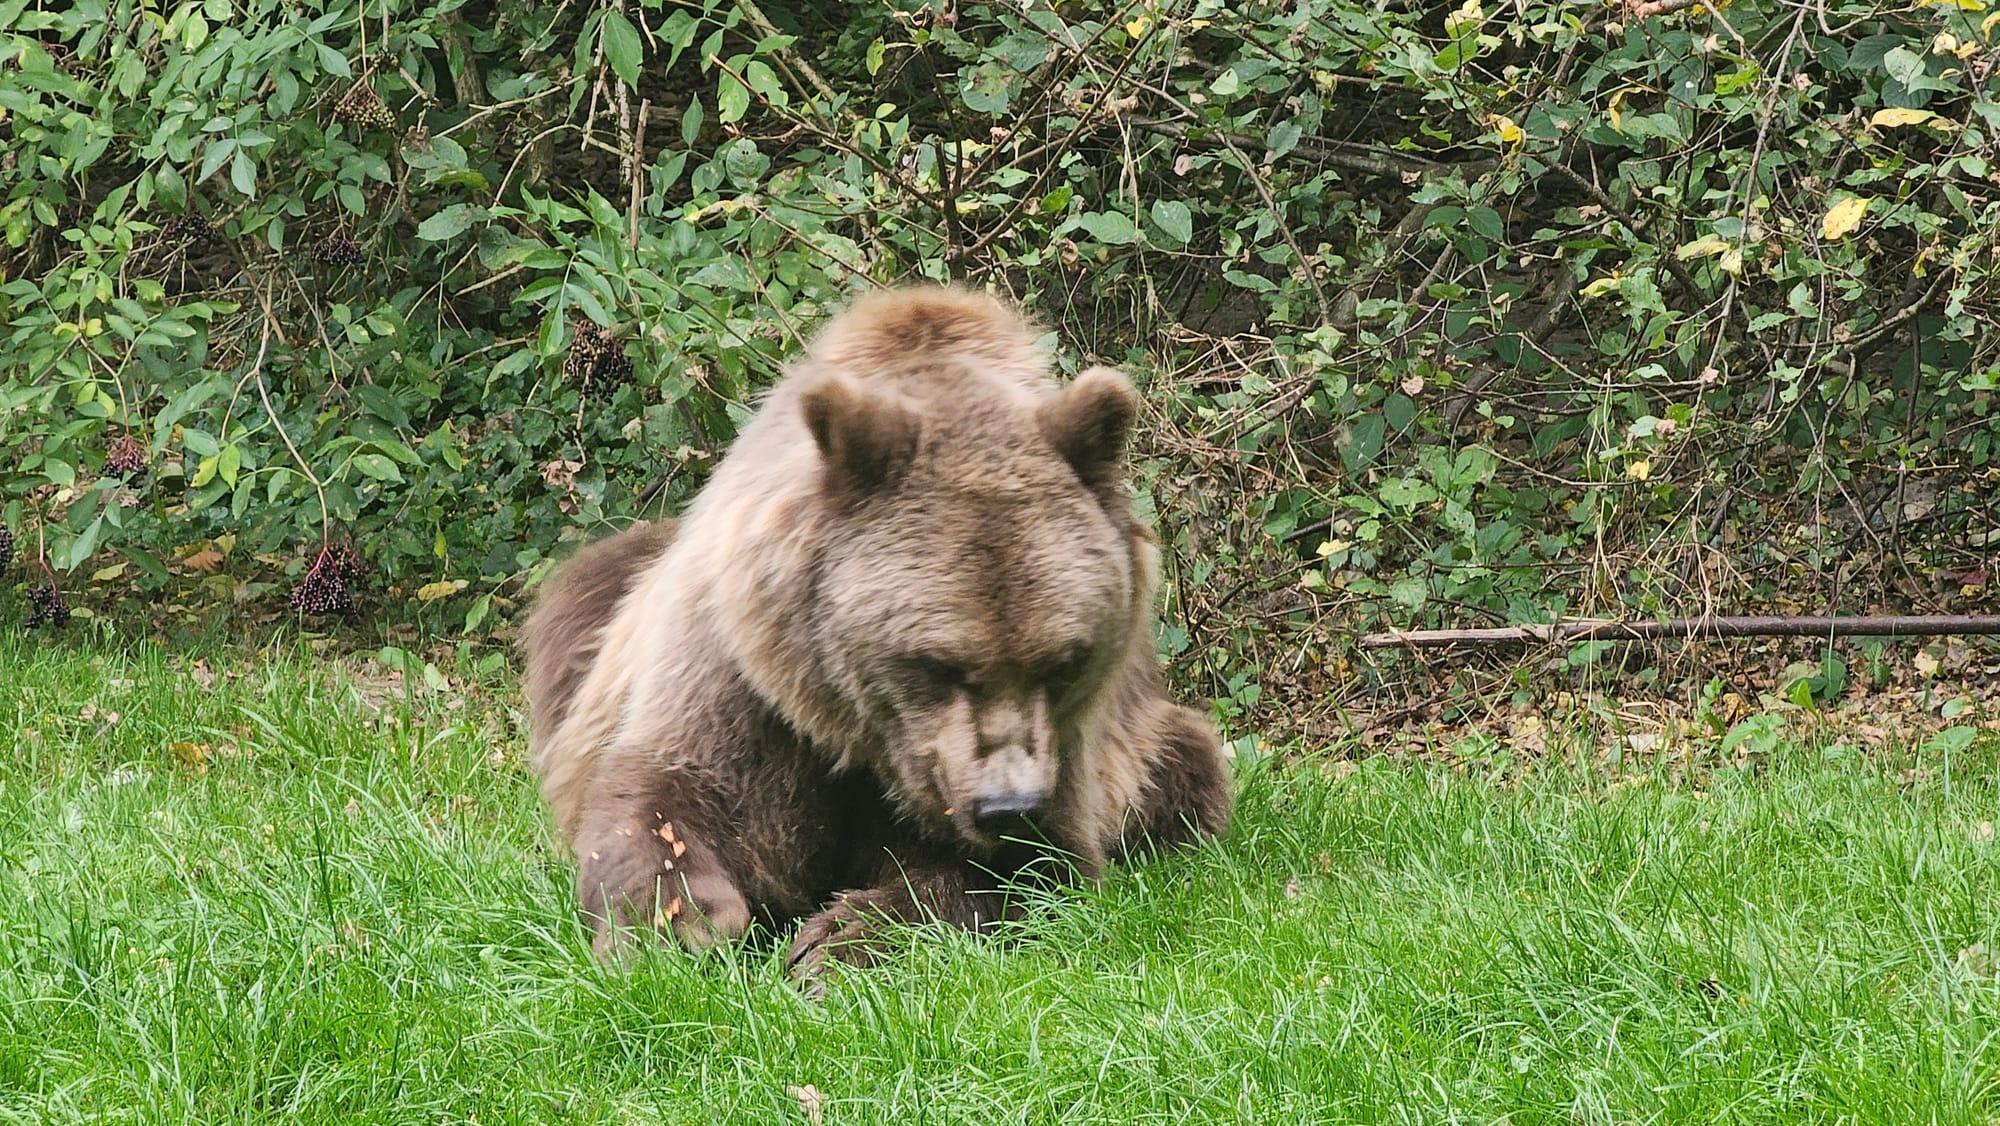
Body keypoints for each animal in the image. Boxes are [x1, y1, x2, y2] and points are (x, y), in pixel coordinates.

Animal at [519, 286, 1231, 978]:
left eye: (1061, 662)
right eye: (940, 664)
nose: (1008, 805)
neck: (863, 736)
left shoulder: (1064, 749)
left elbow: (1028, 869)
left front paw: (839, 939)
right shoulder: (745, 671)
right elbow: (675, 790)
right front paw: (679, 926)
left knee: (1186, 769)